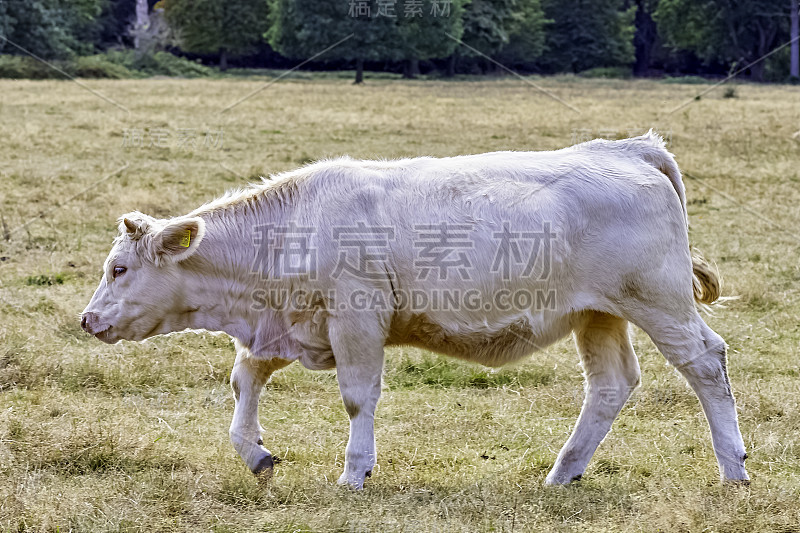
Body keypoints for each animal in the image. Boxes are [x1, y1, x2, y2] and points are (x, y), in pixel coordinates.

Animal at [83, 132, 752, 486]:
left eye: (119, 269)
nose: (87, 320)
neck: (294, 229)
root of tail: (629, 149)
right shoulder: (291, 327)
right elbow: (244, 379)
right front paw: (255, 453)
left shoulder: (356, 320)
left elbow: (357, 398)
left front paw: (354, 472)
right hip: (598, 315)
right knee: (611, 385)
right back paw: (563, 471)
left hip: (658, 301)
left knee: (706, 362)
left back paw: (733, 468)